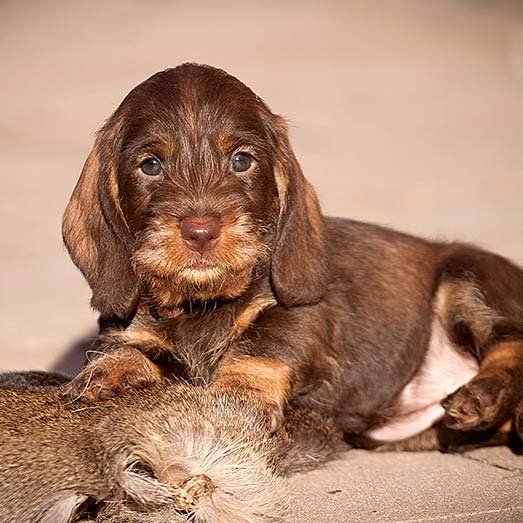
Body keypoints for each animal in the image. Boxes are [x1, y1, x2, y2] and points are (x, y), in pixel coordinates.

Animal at [64, 62, 523, 450]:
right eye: (151, 166)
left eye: (241, 160)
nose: (201, 232)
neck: (202, 302)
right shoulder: (128, 326)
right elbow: (122, 345)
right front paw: (109, 372)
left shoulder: (302, 316)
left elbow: (265, 341)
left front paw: (238, 395)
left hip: (467, 277)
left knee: (511, 341)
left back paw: (481, 396)